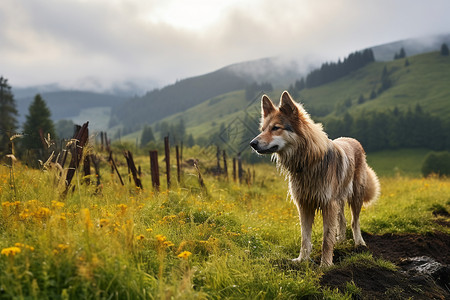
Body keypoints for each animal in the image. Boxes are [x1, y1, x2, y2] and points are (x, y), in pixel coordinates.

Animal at [250, 91, 380, 264]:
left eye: (276, 128)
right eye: (263, 129)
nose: (252, 143)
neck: (307, 162)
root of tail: (352, 139)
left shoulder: (328, 204)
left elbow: (326, 238)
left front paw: (325, 264)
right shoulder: (304, 204)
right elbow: (305, 237)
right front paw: (302, 260)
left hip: (356, 196)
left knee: (354, 221)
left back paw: (359, 243)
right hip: (339, 199)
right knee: (343, 220)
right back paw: (341, 240)